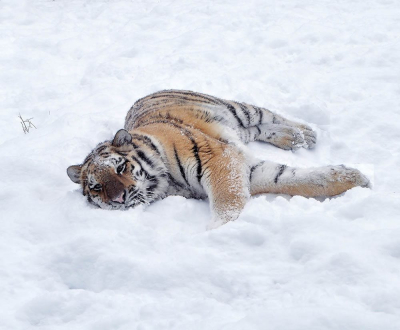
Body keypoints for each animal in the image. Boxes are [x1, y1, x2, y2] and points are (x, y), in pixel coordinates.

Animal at [67, 89, 370, 227]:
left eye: (120, 168)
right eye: (96, 187)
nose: (118, 199)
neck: (166, 184)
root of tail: (147, 94)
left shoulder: (220, 158)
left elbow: (227, 200)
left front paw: (217, 230)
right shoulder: (247, 168)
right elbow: (295, 178)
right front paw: (356, 178)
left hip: (239, 110)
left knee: (268, 115)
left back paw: (305, 133)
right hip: (241, 130)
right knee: (258, 130)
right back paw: (294, 138)